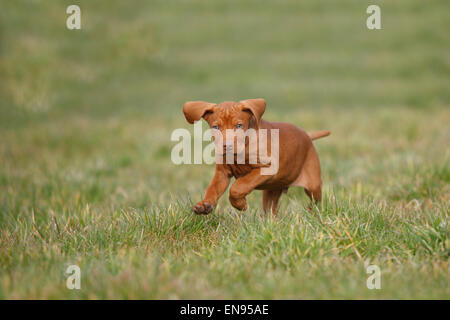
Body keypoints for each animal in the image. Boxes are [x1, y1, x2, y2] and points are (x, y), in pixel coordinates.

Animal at [183, 98, 330, 215]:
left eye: (239, 125)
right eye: (216, 127)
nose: (227, 146)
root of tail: (306, 135)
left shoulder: (267, 167)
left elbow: (239, 186)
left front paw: (240, 205)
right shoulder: (222, 174)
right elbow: (212, 189)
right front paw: (204, 205)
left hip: (313, 185)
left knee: (316, 201)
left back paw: (312, 212)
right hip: (272, 191)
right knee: (271, 210)